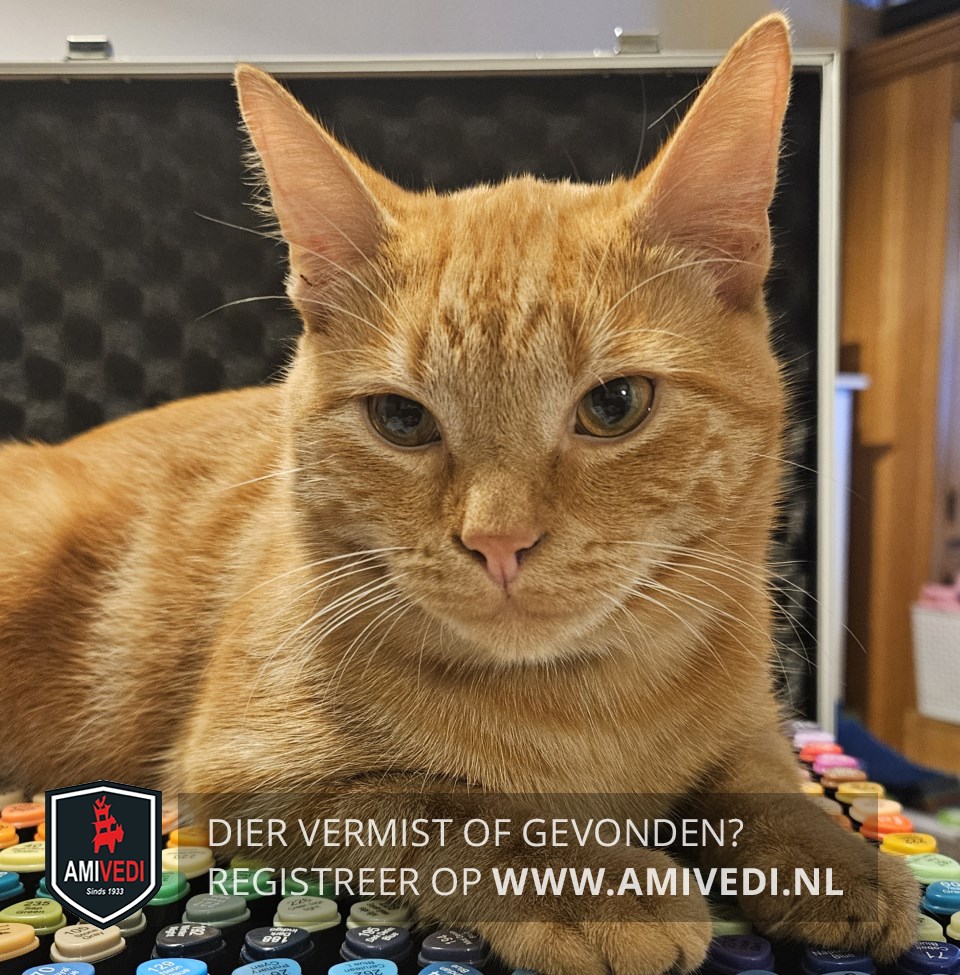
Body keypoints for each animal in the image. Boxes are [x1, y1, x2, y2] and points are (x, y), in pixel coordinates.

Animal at [0, 14, 919, 974]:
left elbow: (761, 777)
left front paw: (836, 856)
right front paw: (600, 880)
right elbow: (459, 804)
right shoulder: (246, 773)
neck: (589, 707)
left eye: (615, 404)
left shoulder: (750, 724)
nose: (497, 541)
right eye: (402, 419)